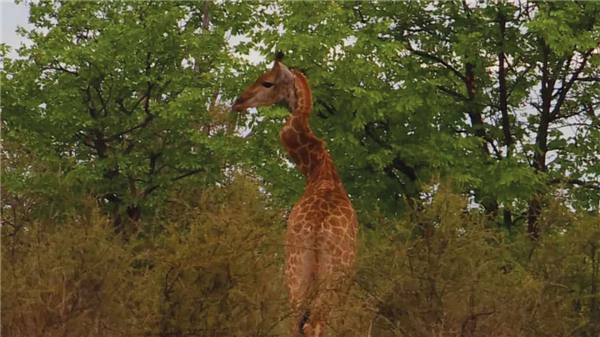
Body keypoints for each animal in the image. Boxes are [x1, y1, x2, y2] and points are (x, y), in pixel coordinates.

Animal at [233, 51, 356, 334]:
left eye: (267, 82)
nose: (237, 102)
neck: (318, 171)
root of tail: (317, 229)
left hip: (296, 272)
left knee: (296, 323)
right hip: (325, 277)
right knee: (311, 325)